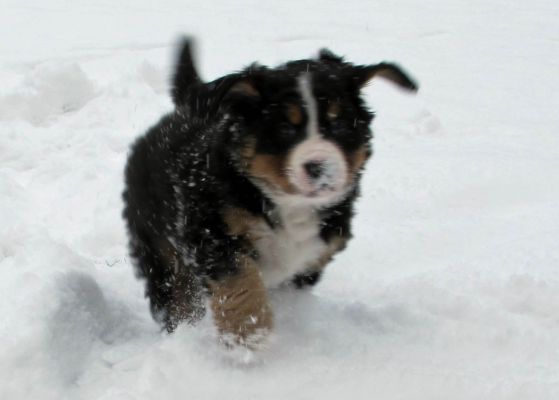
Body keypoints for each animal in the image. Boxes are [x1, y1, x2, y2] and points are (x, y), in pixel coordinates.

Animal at [123, 39, 420, 348]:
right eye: (286, 127)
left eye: (338, 124)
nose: (320, 166)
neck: (290, 203)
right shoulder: (211, 230)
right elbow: (240, 280)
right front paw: (248, 335)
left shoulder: (316, 253)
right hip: (159, 247)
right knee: (176, 297)